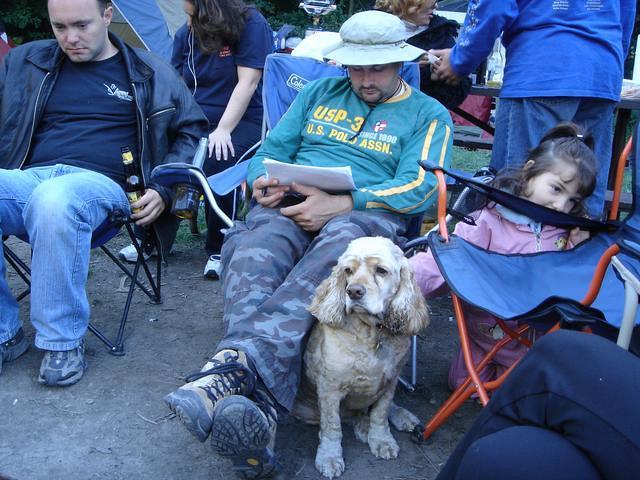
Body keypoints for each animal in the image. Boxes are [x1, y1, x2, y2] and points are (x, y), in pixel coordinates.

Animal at [292, 235, 432, 476]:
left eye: (381, 271)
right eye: (348, 270)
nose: (354, 291)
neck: (372, 333)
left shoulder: (390, 381)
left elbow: (380, 414)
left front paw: (382, 440)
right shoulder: (330, 389)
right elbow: (332, 426)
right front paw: (329, 457)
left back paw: (402, 417)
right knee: (350, 417)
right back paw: (363, 427)